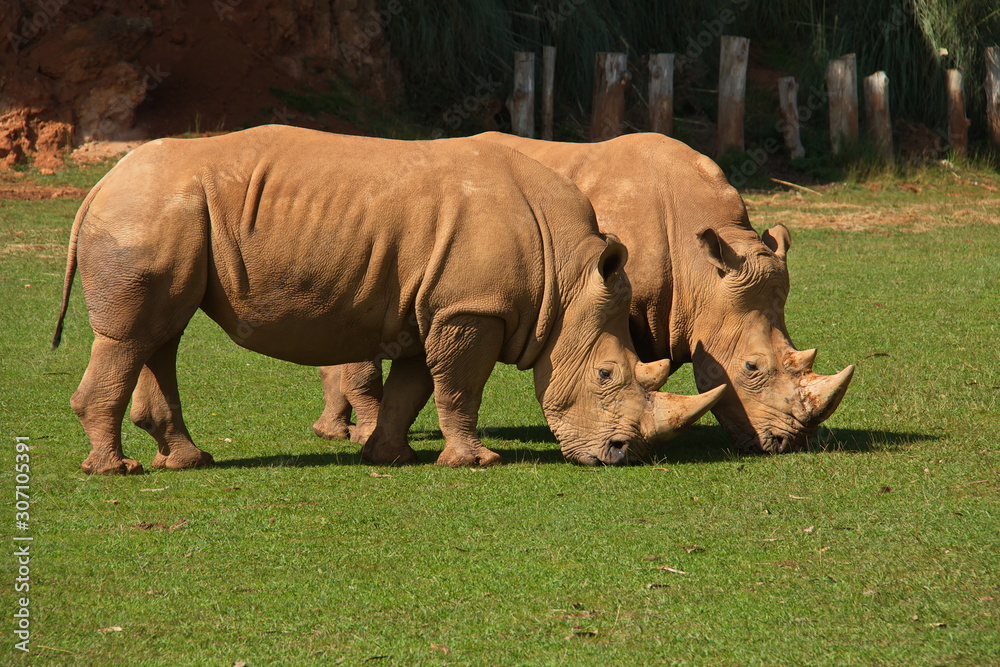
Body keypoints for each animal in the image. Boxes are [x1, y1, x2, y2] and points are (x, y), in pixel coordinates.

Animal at [52, 125, 725, 474]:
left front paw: (391, 455)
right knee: (135, 335)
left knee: (161, 333)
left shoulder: (435, 305)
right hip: (148, 212)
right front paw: (476, 463)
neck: (567, 277)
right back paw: (115, 470)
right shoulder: (470, 307)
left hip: (165, 213)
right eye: (608, 373)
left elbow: (415, 385)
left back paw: (189, 461)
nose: (621, 454)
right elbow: (459, 386)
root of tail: (100, 184)